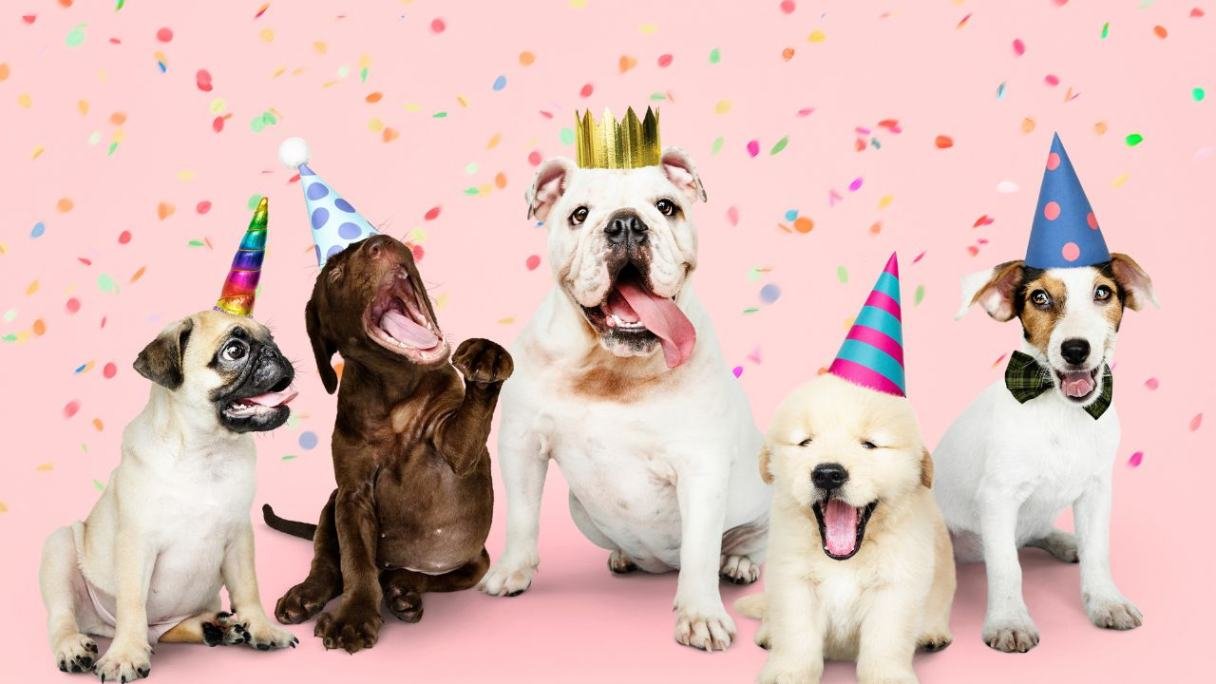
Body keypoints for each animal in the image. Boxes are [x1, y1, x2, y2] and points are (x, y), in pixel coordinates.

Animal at [734, 372, 953, 681]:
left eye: (869, 444)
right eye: (805, 442)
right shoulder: (792, 581)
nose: (828, 474)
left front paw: (886, 676)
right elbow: (796, 635)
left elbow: (886, 641)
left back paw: (932, 633)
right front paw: (789, 673)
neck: (844, 560)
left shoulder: (896, 585)